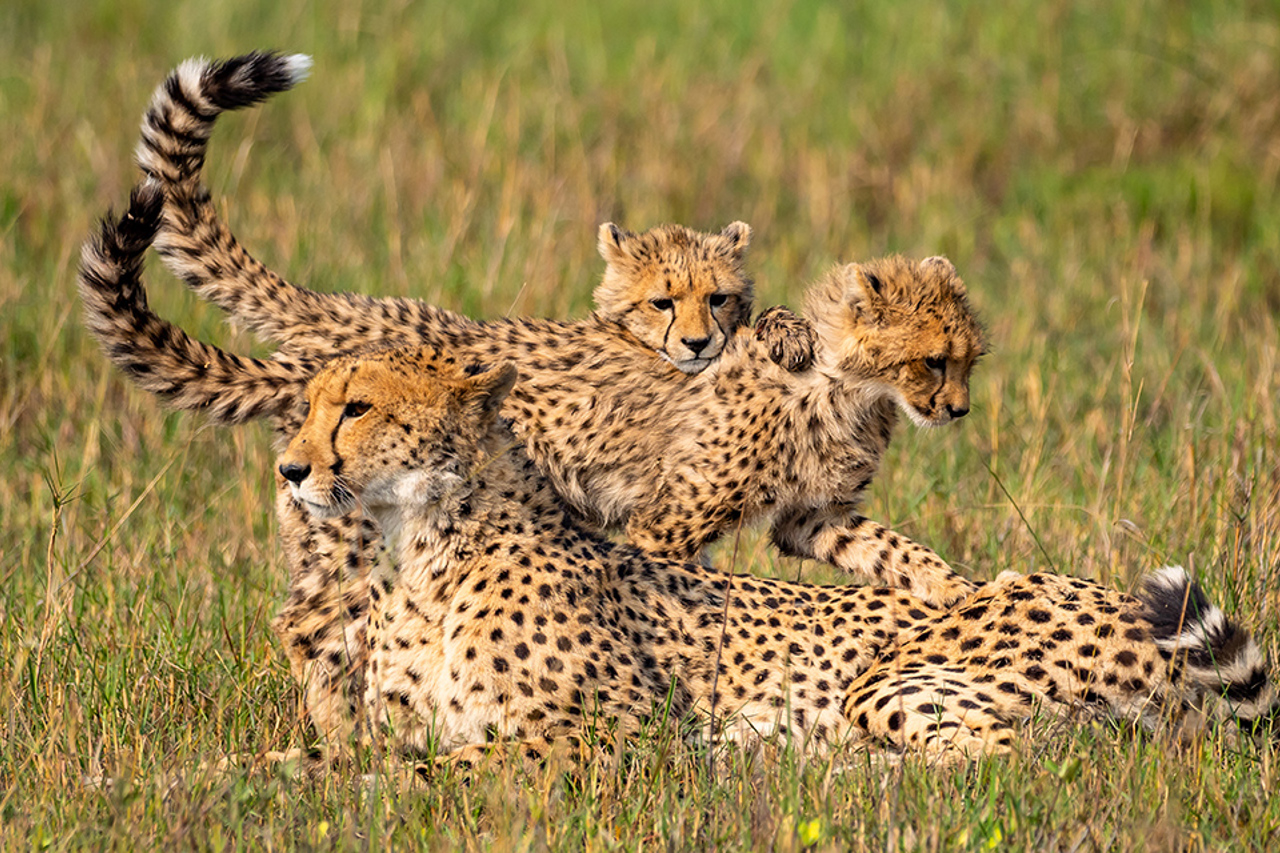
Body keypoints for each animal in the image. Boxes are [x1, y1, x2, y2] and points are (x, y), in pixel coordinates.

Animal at [81, 182, 982, 743]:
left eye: (967, 359)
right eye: (934, 361)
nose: (958, 409)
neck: (849, 386)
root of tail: (332, 332)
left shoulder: (811, 516)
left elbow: (892, 550)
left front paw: (957, 591)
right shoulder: (669, 519)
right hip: (349, 537)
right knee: (311, 626)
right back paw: (344, 734)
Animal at [273, 340, 1275, 768]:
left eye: (356, 407)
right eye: (311, 403)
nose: (289, 468)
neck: (424, 548)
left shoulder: (625, 730)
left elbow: (443, 767)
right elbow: (344, 752)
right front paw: (265, 772)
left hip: (894, 678)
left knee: (1015, 755)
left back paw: (805, 765)